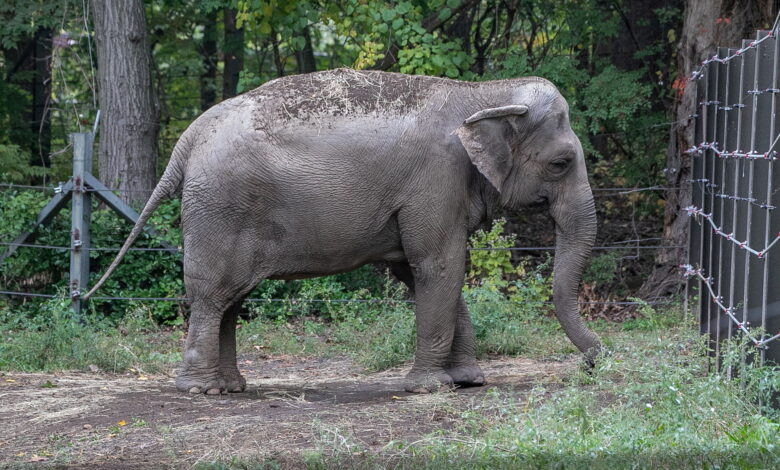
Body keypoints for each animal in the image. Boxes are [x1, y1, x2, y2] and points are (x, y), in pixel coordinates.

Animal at [90, 67, 604, 392]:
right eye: (561, 163)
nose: (594, 362)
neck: (484, 93)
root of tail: (189, 137)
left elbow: (426, 271)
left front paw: (468, 382)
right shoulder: (434, 181)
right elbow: (438, 265)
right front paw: (431, 388)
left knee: (230, 301)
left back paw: (232, 387)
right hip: (219, 208)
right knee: (212, 295)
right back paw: (200, 392)